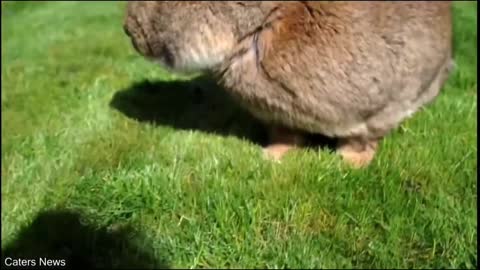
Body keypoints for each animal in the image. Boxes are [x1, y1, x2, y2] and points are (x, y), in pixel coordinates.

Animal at [123, 1, 454, 168]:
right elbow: (285, 135)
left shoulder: (381, 108)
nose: (128, 29)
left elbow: (362, 138)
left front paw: (351, 163)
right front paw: (272, 157)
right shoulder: (281, 114)